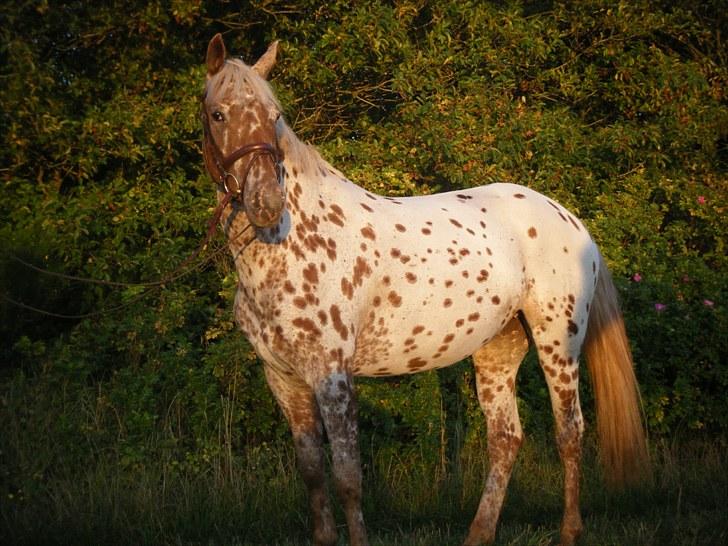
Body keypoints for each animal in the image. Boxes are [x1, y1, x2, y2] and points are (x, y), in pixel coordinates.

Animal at [200, 34, 648, 544]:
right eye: (218, 114)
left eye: (274, 115)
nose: (266, 203)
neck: (290, 244)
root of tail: (568, 218)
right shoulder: (284, 377)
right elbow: (313, 473)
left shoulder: (333, 376)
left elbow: (348, 477)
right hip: (499, 348)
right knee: (506, 438)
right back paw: (478, 533)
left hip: (559, 340)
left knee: (569, 431)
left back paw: (569, 531)